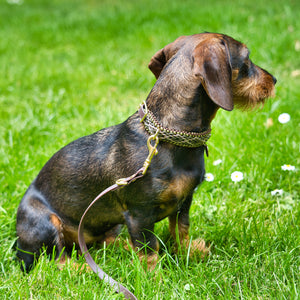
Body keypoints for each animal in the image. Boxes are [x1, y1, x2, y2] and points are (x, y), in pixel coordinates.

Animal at [15, 32, 276, 274]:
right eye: (247, 59)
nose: (274, 80)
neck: (168, 137)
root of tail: (19, 250)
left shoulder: (184, 202)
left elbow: (181, 231)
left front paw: (189, 253)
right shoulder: (138, 215)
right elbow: (149, 251)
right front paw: (155, 277)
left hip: (110, 225)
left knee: (102, 243)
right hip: (44, 223)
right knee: (57, 262)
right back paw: (90, 269)